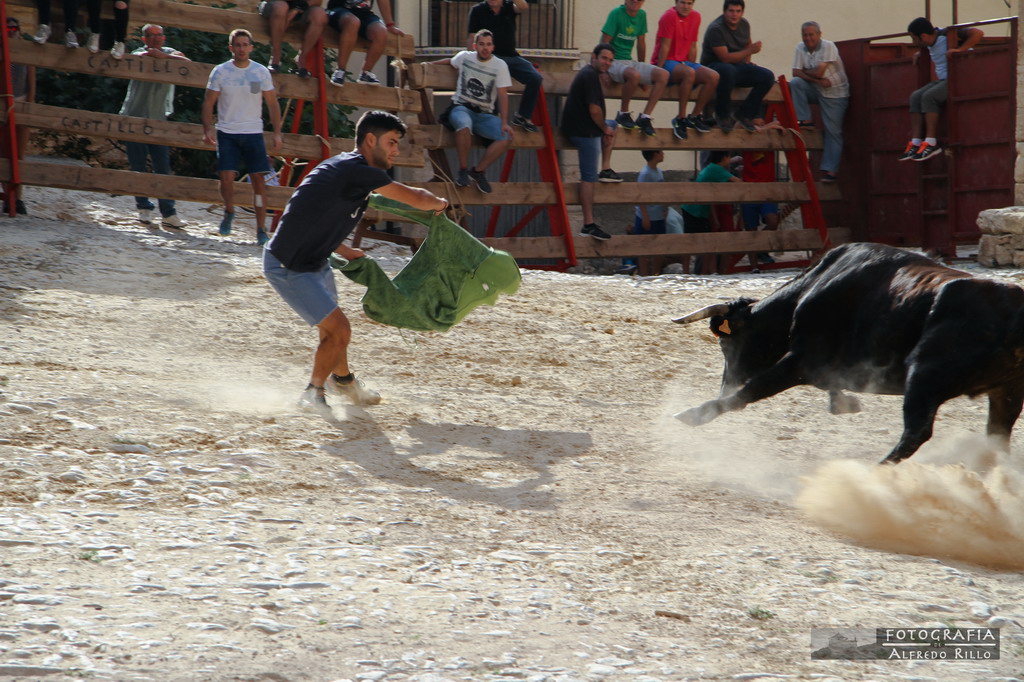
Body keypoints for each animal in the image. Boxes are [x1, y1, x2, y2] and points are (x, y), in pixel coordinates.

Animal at [673, 242, 1024, 464]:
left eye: (726, 343)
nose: (726, 382)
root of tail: (1011, 311)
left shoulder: (801, 361)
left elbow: (749, 391)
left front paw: (692, 414)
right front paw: (845, 402)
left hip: (924, 377)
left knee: (916, 432)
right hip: (1006, 392)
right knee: (997, 436)